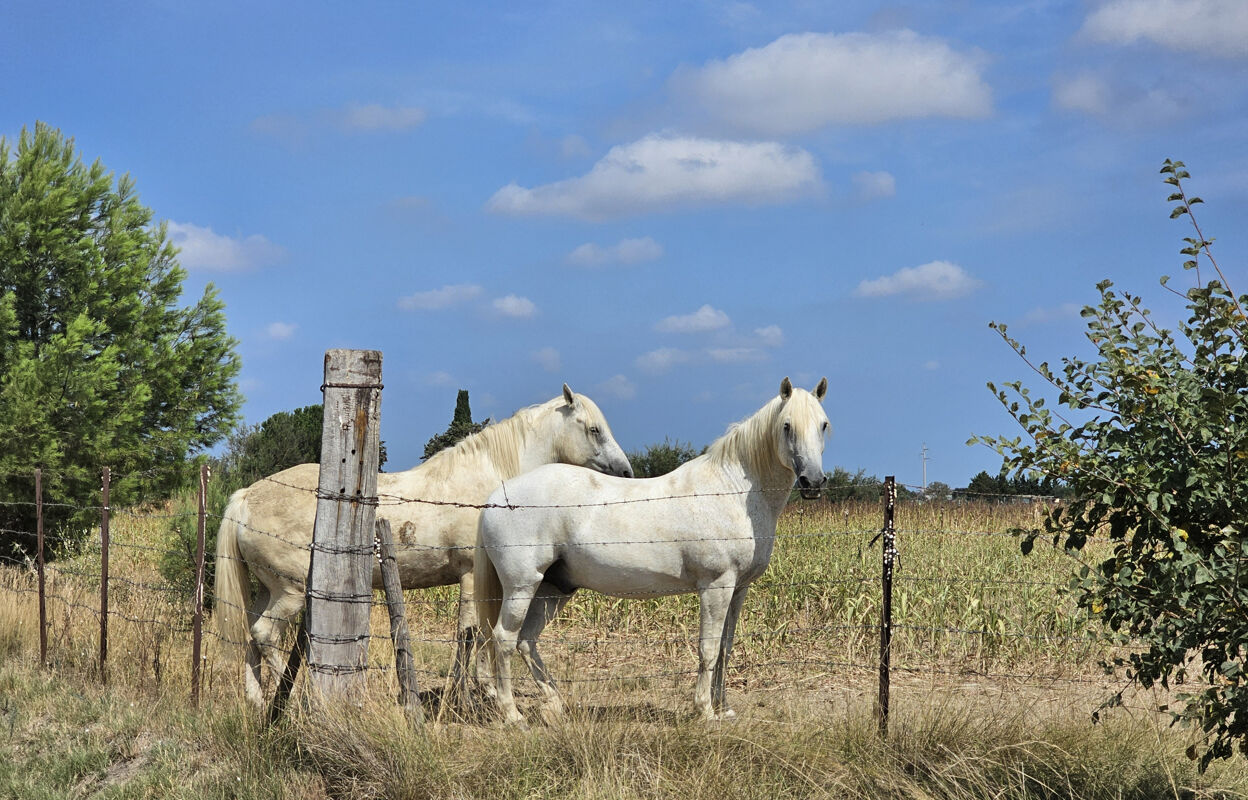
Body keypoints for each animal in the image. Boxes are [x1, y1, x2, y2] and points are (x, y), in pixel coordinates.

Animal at [213, 384, 633, 703]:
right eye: (594, 430)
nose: (626, 471)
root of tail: (247, 497)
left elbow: (472, 634)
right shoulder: (472, 578)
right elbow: (473, 632)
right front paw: (479, 691)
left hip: (269, 590)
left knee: (251, 635)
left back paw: (256, 698)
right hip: (291, 592)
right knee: (265, 635)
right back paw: (295, 696)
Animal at [476, 376, 828, 723]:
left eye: (823, 424)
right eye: (787, 426)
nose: (813, 482)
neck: (732, 492)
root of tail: (496, 497)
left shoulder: (738, 589)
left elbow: (725, 649)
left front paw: (724, 708)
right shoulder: (716, 586)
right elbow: (708, 649)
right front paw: (705, 711)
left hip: (553, 589)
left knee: (526, 641)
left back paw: (555, 704)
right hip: (522, 586)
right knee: (503, 639)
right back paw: (512, 714)